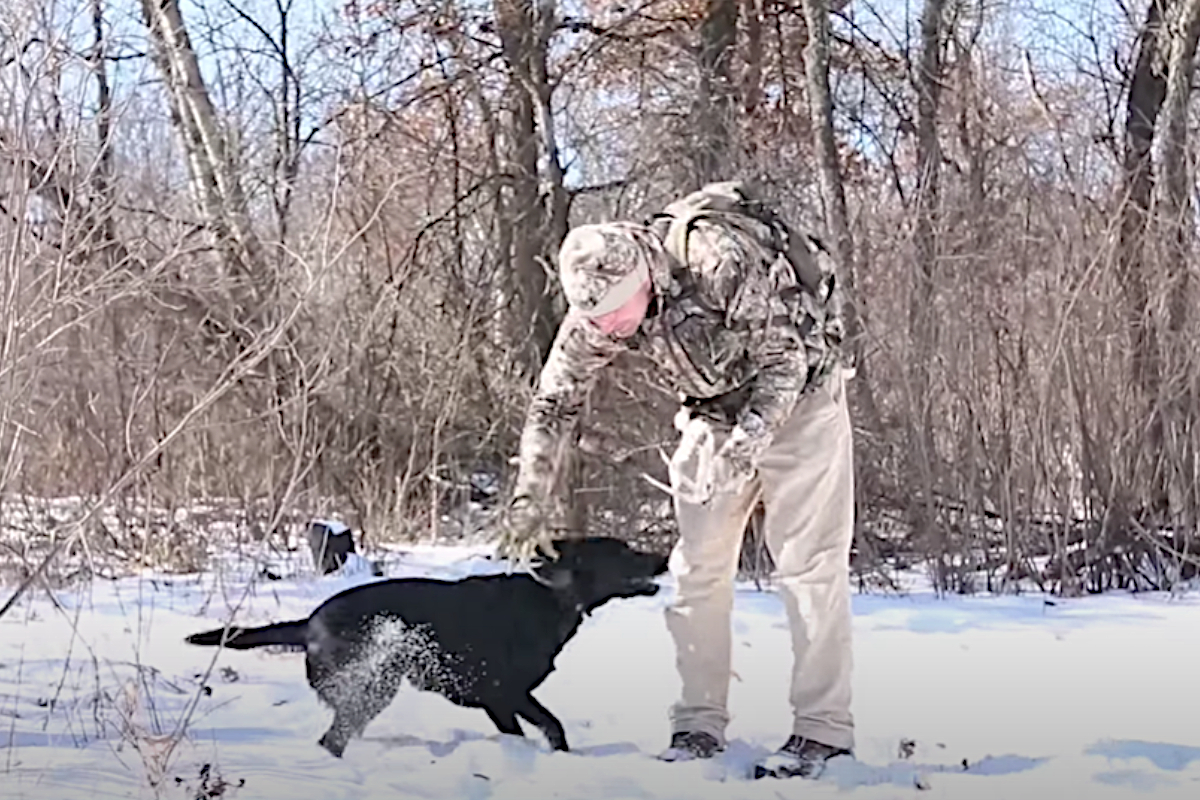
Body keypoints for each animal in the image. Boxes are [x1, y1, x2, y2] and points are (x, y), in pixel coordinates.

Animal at [184, 537, 667, 758]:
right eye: (625, 551)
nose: (664, 556)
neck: (553, 597)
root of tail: (309, 624)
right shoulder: (504, 694)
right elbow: (548, 726)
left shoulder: (506, 699)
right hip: (374, 685)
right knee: (332, 738)